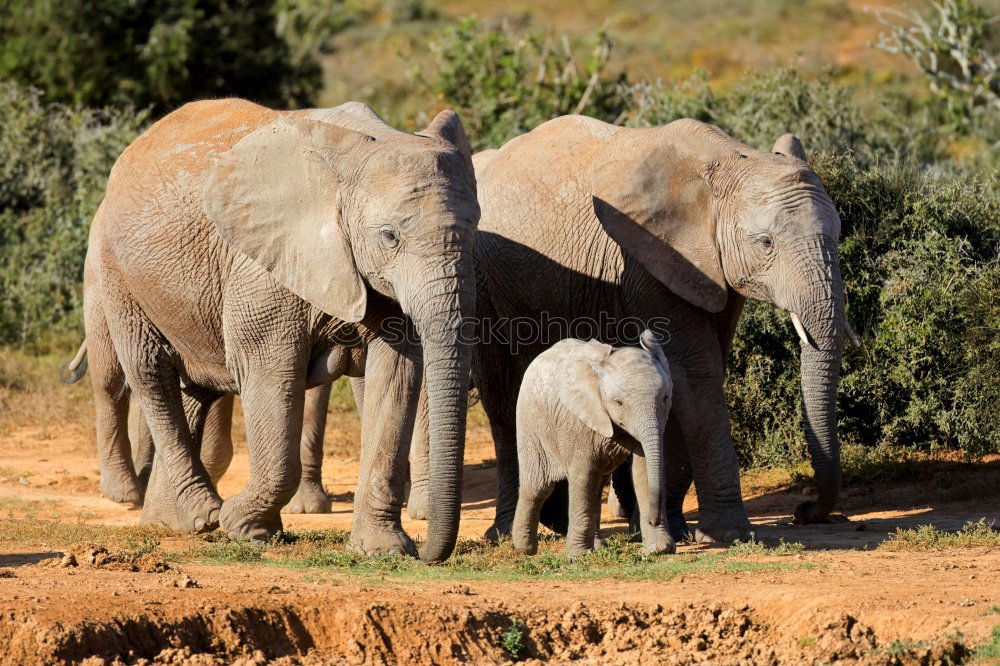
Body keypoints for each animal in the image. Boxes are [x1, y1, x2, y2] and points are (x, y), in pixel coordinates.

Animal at [85, 96, 476, 556]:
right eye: (389, 236)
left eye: (474, 231)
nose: (430, 552)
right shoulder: (260, 269)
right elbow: (270, 373)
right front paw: (247, 529)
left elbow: (394, 377)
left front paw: (385, 550)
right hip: (116, 269)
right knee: (150, 373)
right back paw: (205, 515)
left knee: (193, 387)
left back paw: (171, 522)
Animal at [516, 330, 672, 556]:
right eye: (618, 402)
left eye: (665, 398)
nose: (653, 519)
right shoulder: (577, 421)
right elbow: (583, 474)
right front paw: (578, 557)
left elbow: (642, 470)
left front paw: (659, 550)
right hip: (529, 421)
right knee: (538, 486)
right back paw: (524, 550)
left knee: (597, 483)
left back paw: (597, 547)